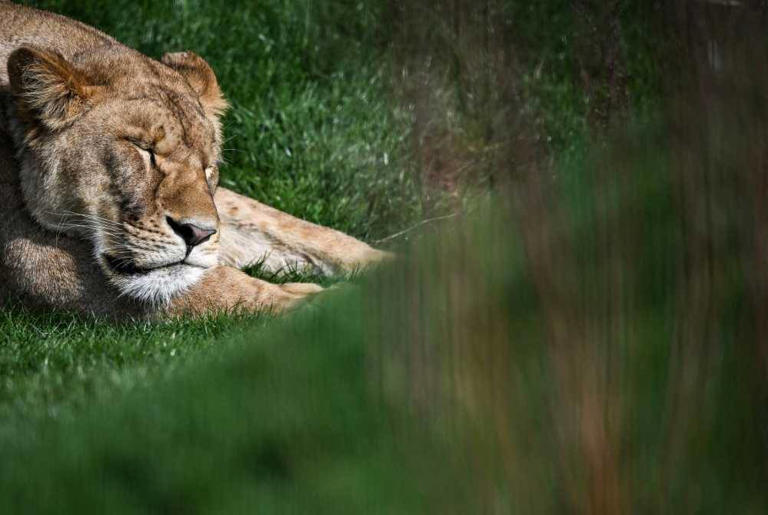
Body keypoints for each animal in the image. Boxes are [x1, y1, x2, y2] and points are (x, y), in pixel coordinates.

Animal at [0, 1, 389, 318]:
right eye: (144, 150)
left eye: (207, 167)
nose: (198, 234)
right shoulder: (29, 255)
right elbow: (216, 289)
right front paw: (327, 306)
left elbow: (294, 228)